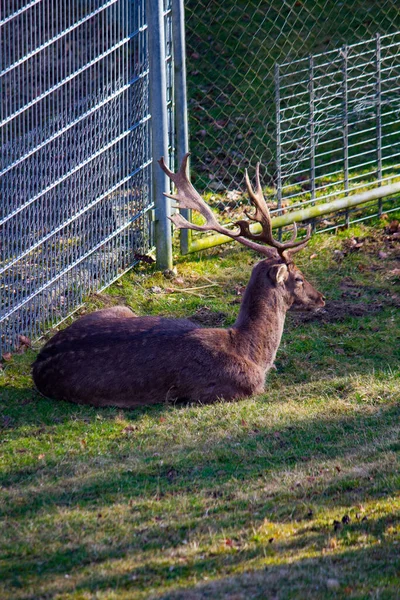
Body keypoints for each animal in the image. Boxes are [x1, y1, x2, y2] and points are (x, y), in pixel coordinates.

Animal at [31, 155, 324, 408]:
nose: (321, 298)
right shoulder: (228, 389)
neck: (249, 352)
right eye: (299, 278)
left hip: (118, 308)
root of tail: (36, 364)